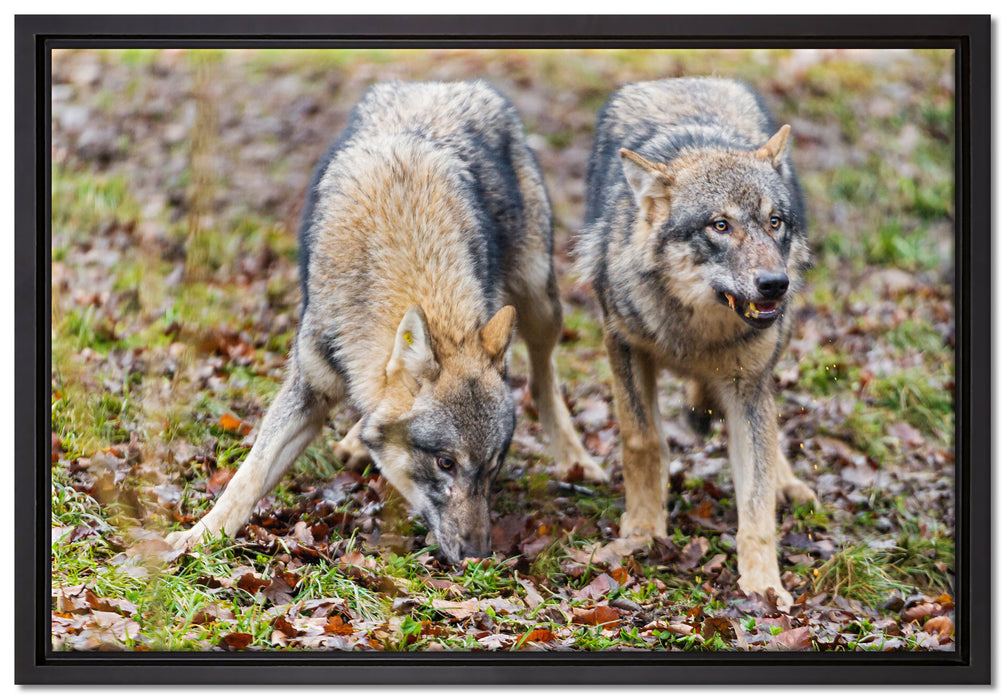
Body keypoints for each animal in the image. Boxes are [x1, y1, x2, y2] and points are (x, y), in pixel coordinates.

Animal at [166, 80, 605, 562]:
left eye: (493, 468)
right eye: (445, 463)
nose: (478, 555)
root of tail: (443, 84)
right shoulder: (307, 388)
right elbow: (250, 475)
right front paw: (199, 536)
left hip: (538, 301)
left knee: (544, 377)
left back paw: (574, 458)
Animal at [576, 78, 816, 605]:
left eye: (774, 222)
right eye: (720, 225)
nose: (775, 284)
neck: (696, 335)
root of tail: (680, 79)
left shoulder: (749, 385)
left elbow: (757, 496)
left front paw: (764, 585)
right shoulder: (622, 344)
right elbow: (642, 442)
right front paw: (642, 532)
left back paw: (787, 481)